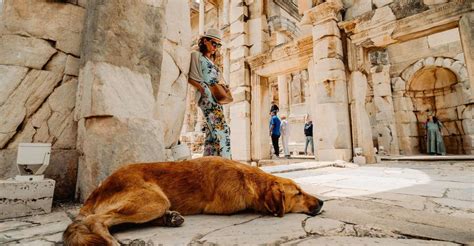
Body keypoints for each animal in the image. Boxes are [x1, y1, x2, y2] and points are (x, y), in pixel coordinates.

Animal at [63, 157, 324, 245]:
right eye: (298, 193)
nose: (322, 202)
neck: (248, 177)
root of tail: (98, 188)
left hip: (155, 202)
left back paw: (170, 218)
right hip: (154, 199)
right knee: (97, 220)